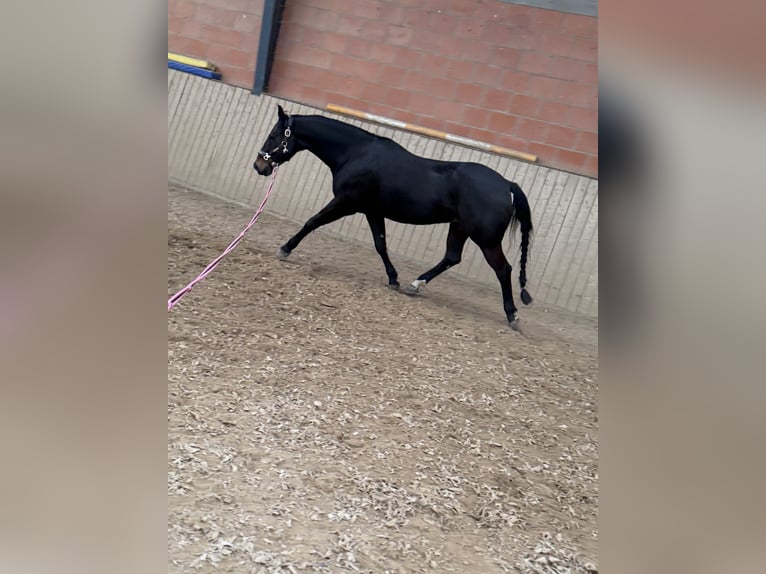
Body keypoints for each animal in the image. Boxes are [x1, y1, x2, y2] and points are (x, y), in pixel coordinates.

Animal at [253, 105, 534, 329]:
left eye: (273, 135)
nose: (259, 166)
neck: (356, 154)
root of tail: (507, 185)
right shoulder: (372, 211)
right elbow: (380, 244)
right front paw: (394, 279)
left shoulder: (346, 203)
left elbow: (312, 222)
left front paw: (285, 249)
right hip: (459, 227)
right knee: (452, 257)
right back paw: (415, 285)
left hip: (486, 239)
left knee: (503, 269)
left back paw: (513, 316)